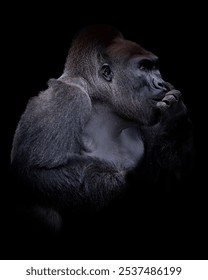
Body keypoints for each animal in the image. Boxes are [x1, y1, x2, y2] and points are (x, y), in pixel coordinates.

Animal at [10, 25, 192, 232]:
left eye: (155, 68)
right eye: (143, 67)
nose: (160, 83)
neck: (101, 98)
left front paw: (175, 123)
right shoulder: (69, 96)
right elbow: (37, 172)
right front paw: (138, 179)